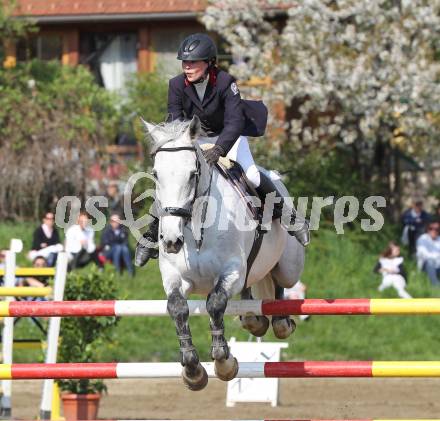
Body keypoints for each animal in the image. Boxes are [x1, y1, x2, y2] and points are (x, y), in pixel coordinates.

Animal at [143, 115, 304, 390]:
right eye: (156, 175)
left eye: (192, 175)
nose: (172, 240)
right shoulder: (175, 276)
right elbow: (178, 308)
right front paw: (192, 369)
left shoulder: (232, 270)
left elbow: (215, 303)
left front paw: (223, 361)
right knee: (253, 291)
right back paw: (254, 320)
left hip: (288, 268)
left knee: (279, 282)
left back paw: (280, 321)